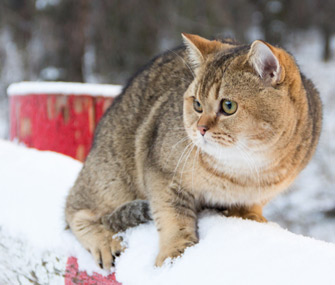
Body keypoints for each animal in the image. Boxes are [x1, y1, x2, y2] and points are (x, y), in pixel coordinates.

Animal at [65, 32, 322, 268]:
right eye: (197, 104)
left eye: (229, 106)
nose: (200, 128)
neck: (243, 170)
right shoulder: (161, 172)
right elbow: (172, 216)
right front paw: (175, 251)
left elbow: (249, 205)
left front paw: (250, 215)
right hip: (111, 178)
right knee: (74, 210)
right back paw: (104, 241)